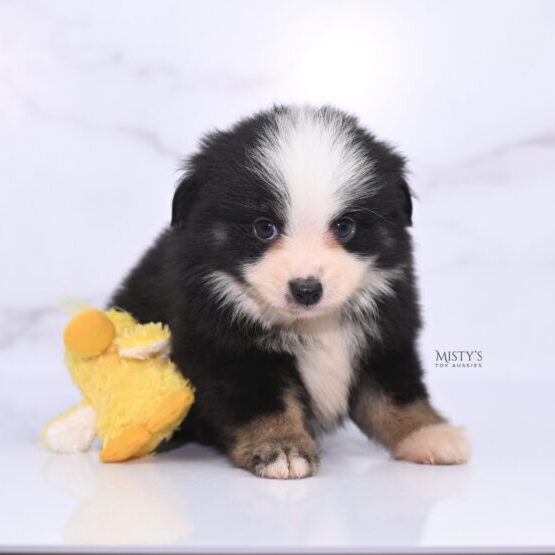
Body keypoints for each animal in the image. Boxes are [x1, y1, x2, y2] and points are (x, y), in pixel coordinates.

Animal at [111, 106, 472, 480]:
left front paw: (428, 434)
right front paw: (281, 448)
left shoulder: (387, 334)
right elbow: (264, 405)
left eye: (345, 227)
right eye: (264, 228)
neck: (314, 324)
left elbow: (395, 395)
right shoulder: (228, 350)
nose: (307, 289)